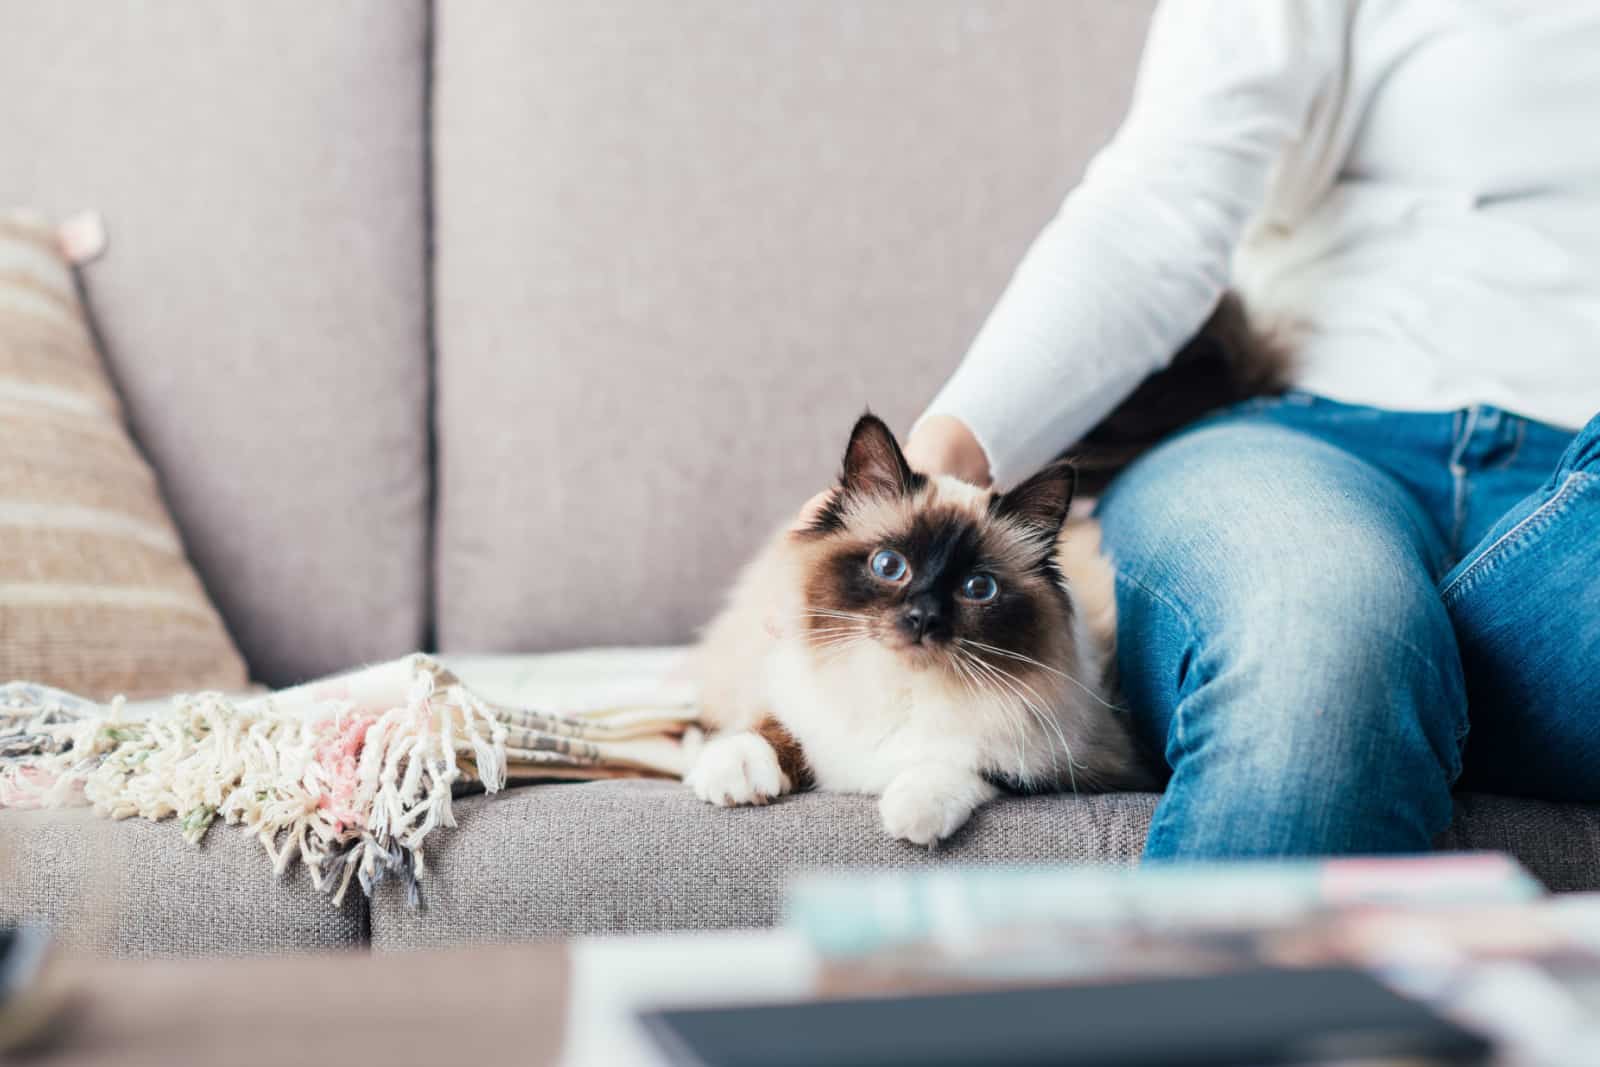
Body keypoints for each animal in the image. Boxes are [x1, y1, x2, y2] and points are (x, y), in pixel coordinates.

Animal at [688, 412, 1164, 844]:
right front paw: (734, 775)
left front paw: (914, 813)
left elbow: (972, 765)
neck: (902, 686)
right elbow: (774, 726)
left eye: (978, 588)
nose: (924, 617)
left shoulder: (1085, 761)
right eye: (889, 566)